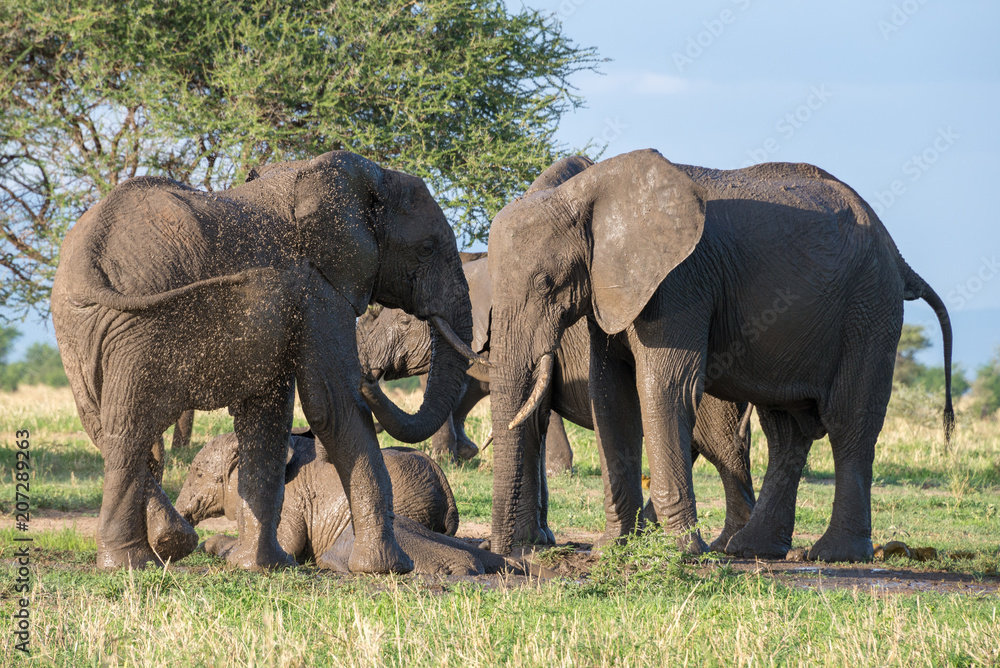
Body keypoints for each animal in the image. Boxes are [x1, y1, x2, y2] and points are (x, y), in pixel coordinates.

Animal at [52, 150, 487, 572]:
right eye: (426, 248)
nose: (371, 377)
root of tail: (88, 259)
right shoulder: (317, 286)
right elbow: (332, 404)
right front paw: (387, 567)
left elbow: (268, 416)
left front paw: (261, 567)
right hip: (142, 327)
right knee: (130, 432)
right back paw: (133, 562)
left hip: (81, 332)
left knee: (106, 429)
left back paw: (162, 548)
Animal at [358, 156, 757, 552]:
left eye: (405, 322)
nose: (367, 375)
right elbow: (528, 416)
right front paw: (539, 538)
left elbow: (529, 416)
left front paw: (524, 541)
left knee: (717, 444)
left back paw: (728, 543)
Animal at [486, 149, 954, 562]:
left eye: (546, 283)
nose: (512, 552)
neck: (586, 192)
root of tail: (898, 256)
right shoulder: (610, 288)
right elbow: (610, 396)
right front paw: (613, 549)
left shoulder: (679, 280)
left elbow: (664, 387)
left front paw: (679, 552)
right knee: (785, 430)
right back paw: (751, 549)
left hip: (869, 308)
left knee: (848, 423)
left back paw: (834, 555)